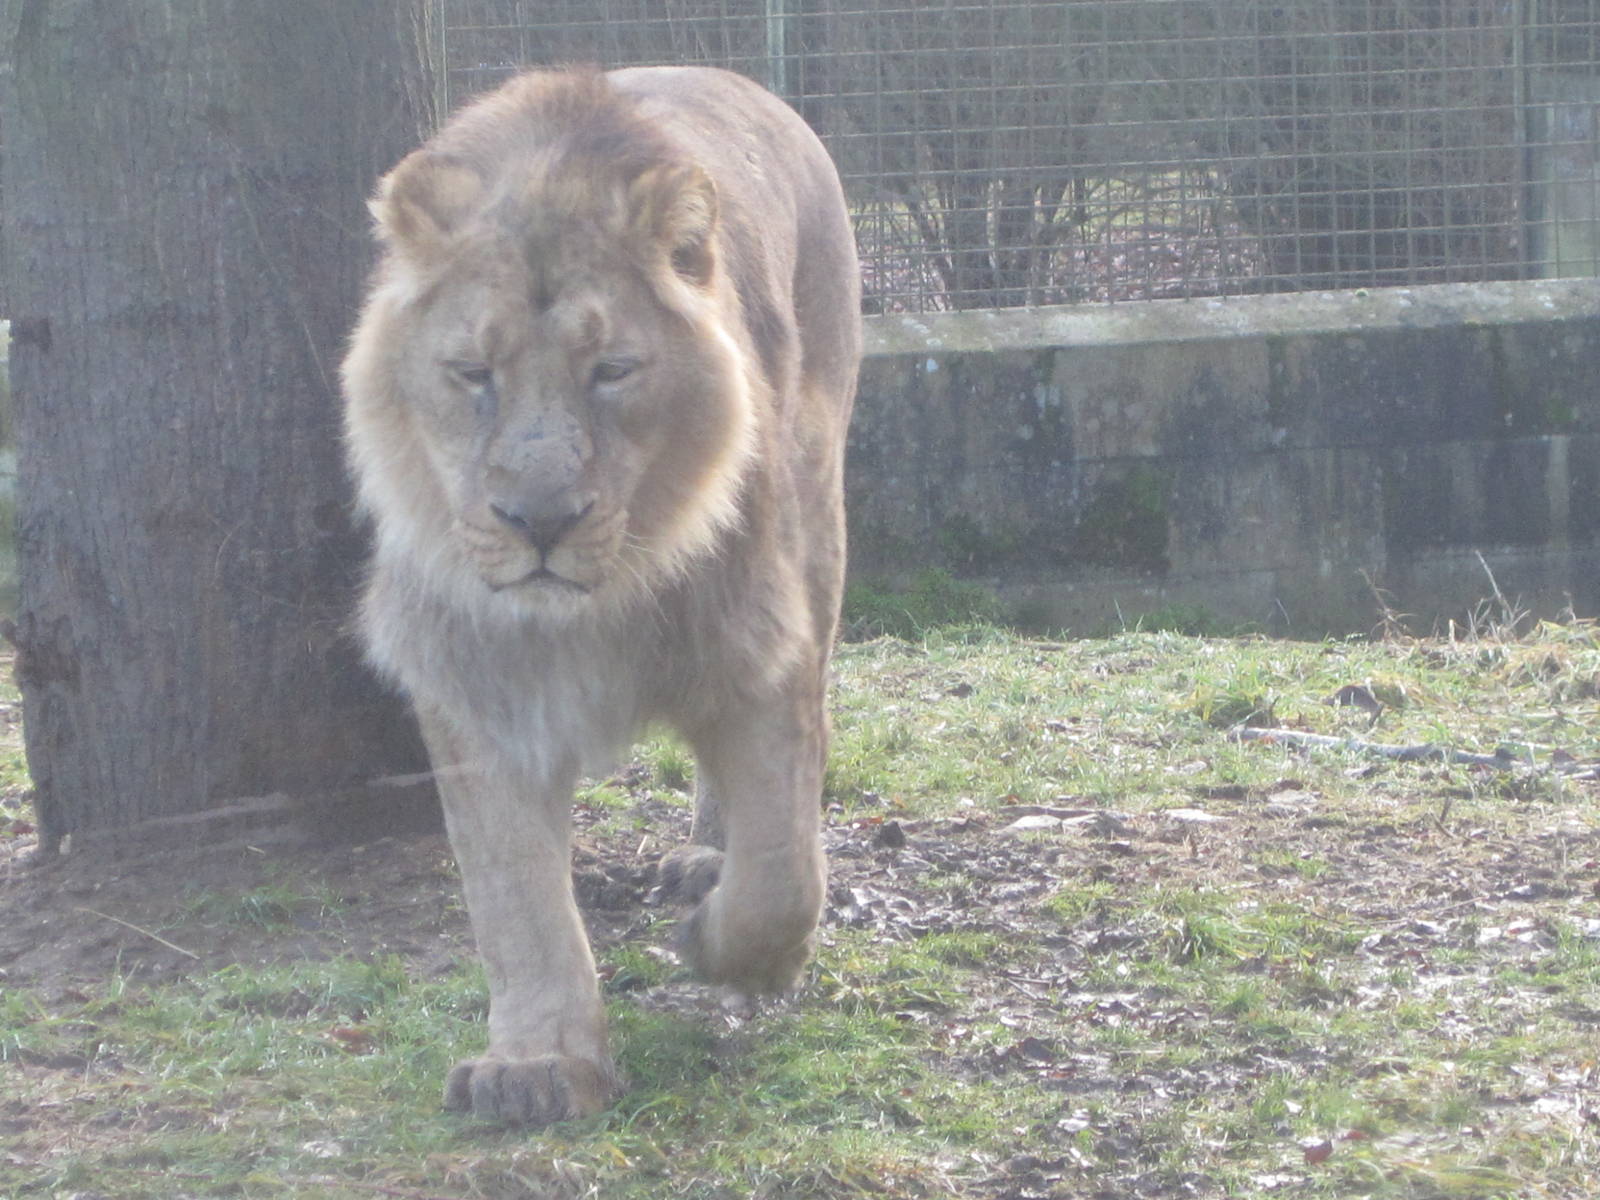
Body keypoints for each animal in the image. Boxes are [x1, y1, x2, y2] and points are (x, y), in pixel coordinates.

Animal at [340, 66, 860, 1126]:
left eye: (612, 370)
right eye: (473, 373)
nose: (539, 522)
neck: (591, 609)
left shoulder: (759, 640)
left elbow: (784, 870)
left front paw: (728, 950)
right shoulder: (474, 675)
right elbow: (513, 890)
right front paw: (537, 1063)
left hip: (819, 519)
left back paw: (707, 863)